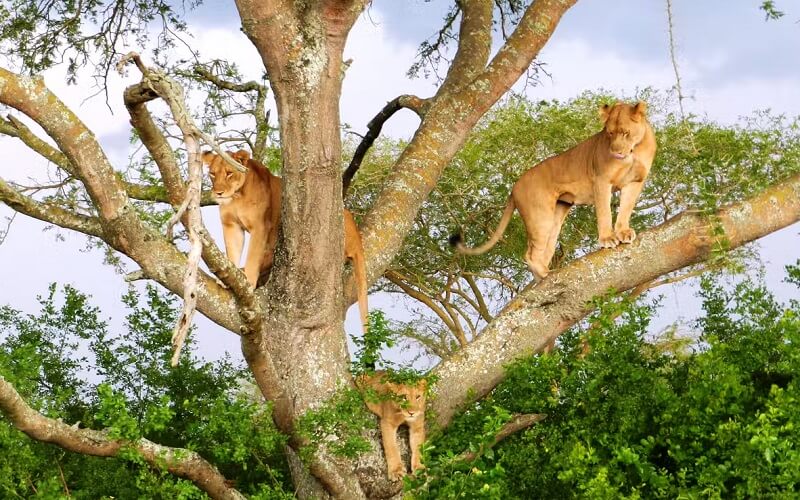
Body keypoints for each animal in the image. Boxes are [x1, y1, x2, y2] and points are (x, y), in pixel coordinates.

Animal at [203, 149, 282, 287]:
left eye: (229, 173)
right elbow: (232, 251)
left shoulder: (260, 226)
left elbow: (252, 257)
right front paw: (229, 278)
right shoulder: (231, 225)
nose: (218, 193)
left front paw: (249, 281)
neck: (237, 197)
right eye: (212, 174)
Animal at [452, 101, 657, 280]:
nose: (615, 152)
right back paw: (544, 274)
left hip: (557, 214)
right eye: (609, 133)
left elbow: (626, 208)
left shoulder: (634, 182)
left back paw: (542, 275)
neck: (633, 151)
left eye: (625, 132)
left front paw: (624, 233)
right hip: (540, 215)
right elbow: (604, 213)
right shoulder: (601, 180)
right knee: (530, 254)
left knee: (545, 248)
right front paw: (607, 238)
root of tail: (514, 186)